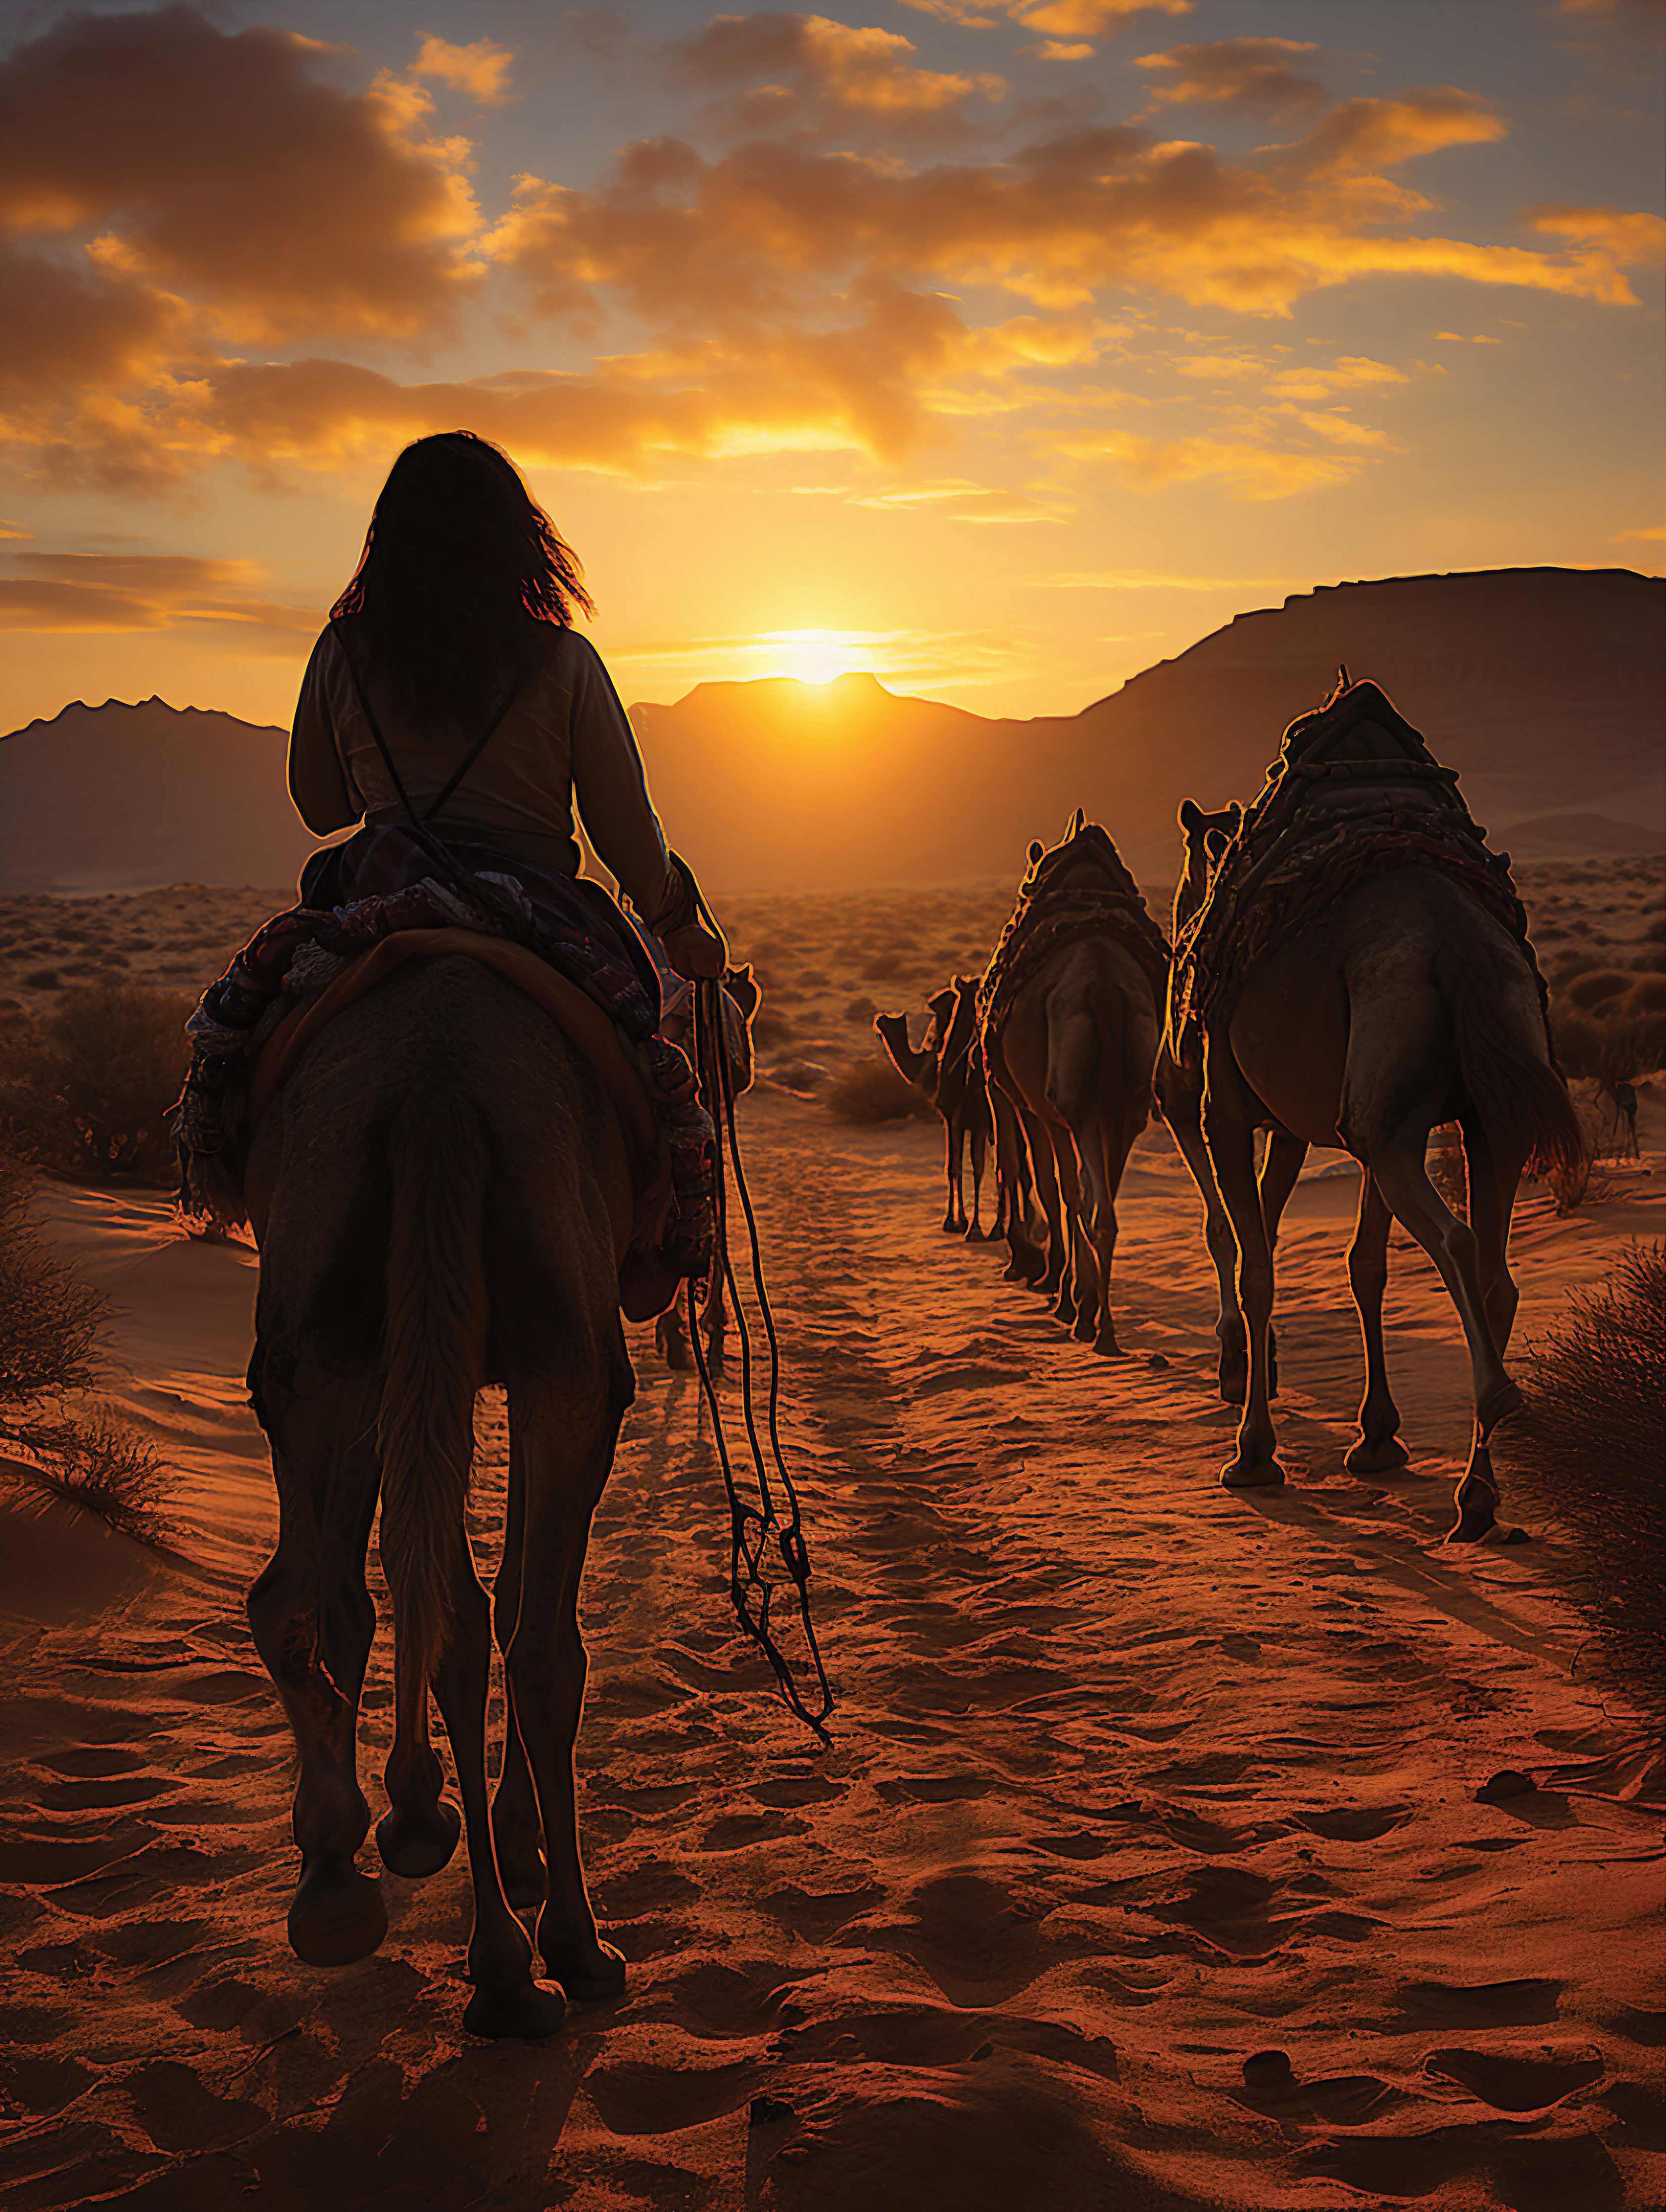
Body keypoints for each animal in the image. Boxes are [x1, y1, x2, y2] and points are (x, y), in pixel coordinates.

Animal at [242, 960, 637, 2044]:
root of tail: (435, 1079)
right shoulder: (558, 1381)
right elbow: (527, 1625)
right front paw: (533, 1877)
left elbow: (371, 1592)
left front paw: (413, 1815)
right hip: (565, 1360)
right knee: (522, 1638)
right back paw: (543, 1959)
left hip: (312, 1337)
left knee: (299, 1595)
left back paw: (343, 1881)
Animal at [982, 822, 1159, 1353]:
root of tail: (1103, 988)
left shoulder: (1025, 1102)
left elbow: (1042, 1179)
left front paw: (1049, 1278)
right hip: (1129, 1106)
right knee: (1106, 1205)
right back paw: (1100, 1322)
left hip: (1072, 1107)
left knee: (1077, 1194)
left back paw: (1084, 1316)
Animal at [1159, 672, 1575, 1539]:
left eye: (1187, 879)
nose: (1180, 955)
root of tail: (1457, 943)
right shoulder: (1336, 1120)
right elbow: (1363, 1264)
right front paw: (1377, 1437)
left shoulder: (1225, 1108)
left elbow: (1257, 1264)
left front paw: (1253, 1454)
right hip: (1478, 1112)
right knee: (1495, 1269)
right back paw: (1475, 1493)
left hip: (1387, 1114)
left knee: (1456, 1241)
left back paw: (1496, 1401)